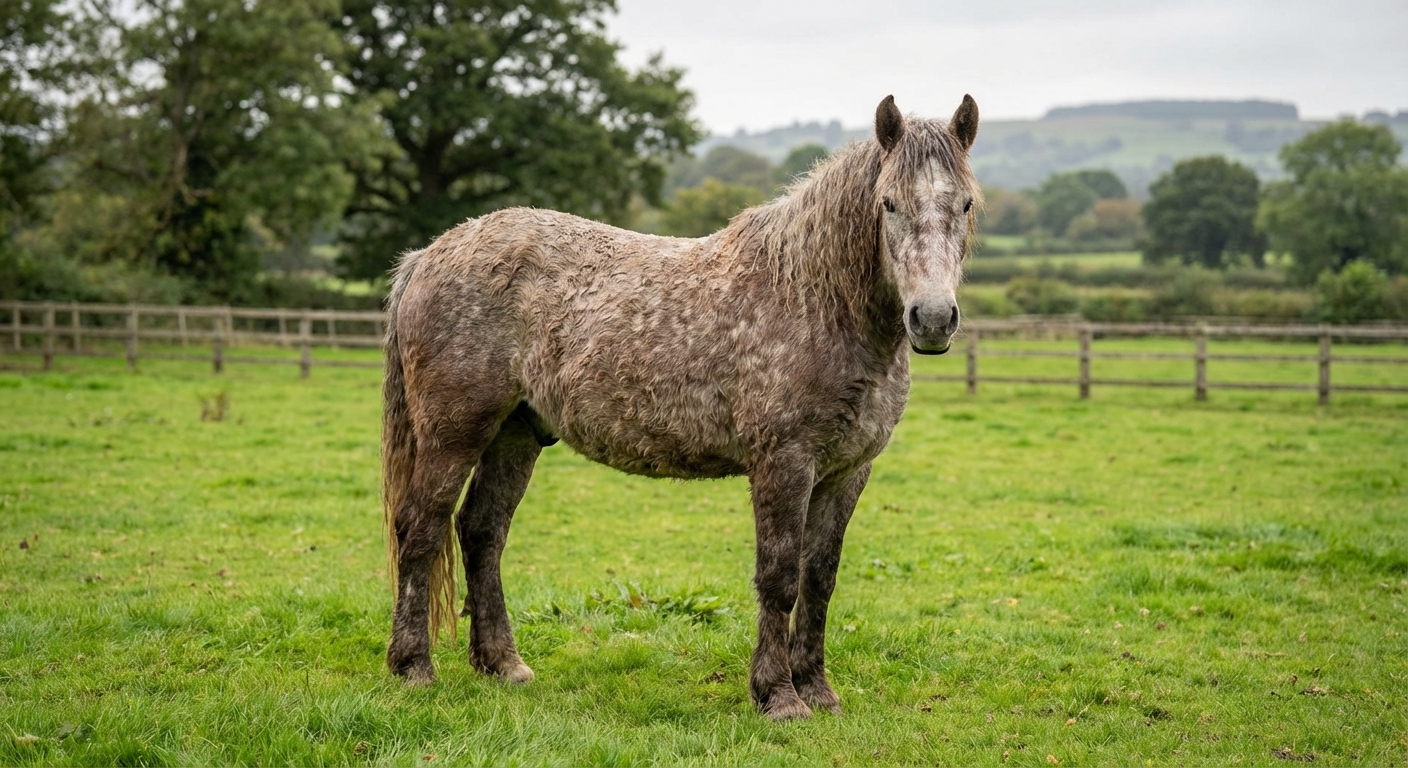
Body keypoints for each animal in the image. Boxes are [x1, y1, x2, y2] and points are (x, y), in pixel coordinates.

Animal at [381, 94, 980, 720]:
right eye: (888, 204)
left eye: (964, 203)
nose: (932, 319)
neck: (816, 298)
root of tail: (428, 254)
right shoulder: (784, 464)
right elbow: (780, 577)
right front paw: (779, 696)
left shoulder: (846, 472)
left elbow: (819, 580)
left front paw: (818, 690)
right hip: (454, 434)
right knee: (420, 529)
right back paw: (414, 667)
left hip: (515, 433)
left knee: (481, 533)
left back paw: (503, 664)